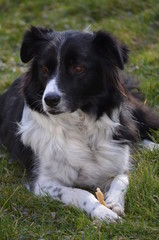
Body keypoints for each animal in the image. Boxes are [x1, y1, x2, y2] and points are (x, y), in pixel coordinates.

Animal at [0, 25, 159, 221]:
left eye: (78, 68)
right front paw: (102, 212)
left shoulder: (117, 163)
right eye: (44, 68)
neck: (80, 125)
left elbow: (121, 179)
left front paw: (114, 203)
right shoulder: (44, 183)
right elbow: (81, 193)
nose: (49, 99)